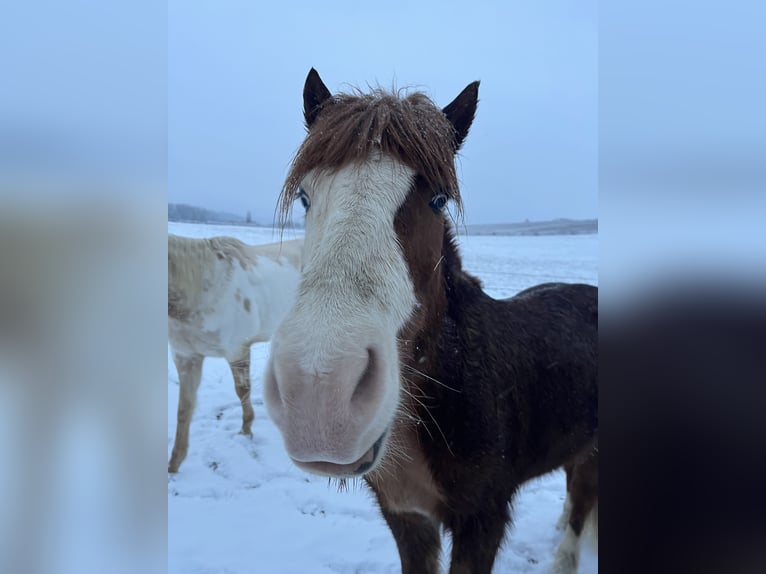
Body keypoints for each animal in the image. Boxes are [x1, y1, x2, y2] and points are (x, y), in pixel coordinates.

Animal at [168, 234, 303, 473]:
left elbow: (243, 391)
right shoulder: (186, 357)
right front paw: (174, 464)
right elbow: (184, 408)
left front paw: (246, 429)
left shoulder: (237, 350)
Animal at [263, 69, 598, 574]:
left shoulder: (482, 522)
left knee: (581, 502)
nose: (320, 392)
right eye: (305, 196)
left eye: (438, 199)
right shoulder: (407, 518)